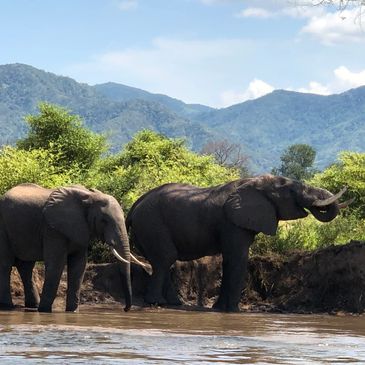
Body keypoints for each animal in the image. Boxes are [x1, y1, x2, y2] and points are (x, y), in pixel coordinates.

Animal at [0, 183, 131, 312]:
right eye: (104, 221)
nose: (125, 309)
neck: (89, 196)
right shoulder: (52, 229)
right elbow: (56, 264)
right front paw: (44, 311)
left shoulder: (80, 228)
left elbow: (78, 266)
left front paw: (72, 312)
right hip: (4, 228)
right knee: (6, 265)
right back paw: (8, 306)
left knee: (26, 267)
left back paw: (33, 306)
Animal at [126, 175, 352, 312]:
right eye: (291, 192)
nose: (346, 188)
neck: (254, 181)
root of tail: (134, 205)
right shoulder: (232, 222)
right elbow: (238, 258)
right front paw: (233, 311)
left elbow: (230, 260)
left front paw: (219, 309)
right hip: (152, 223)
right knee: (165, 258)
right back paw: (157, 302)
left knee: (162, 261)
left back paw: (174, 303)